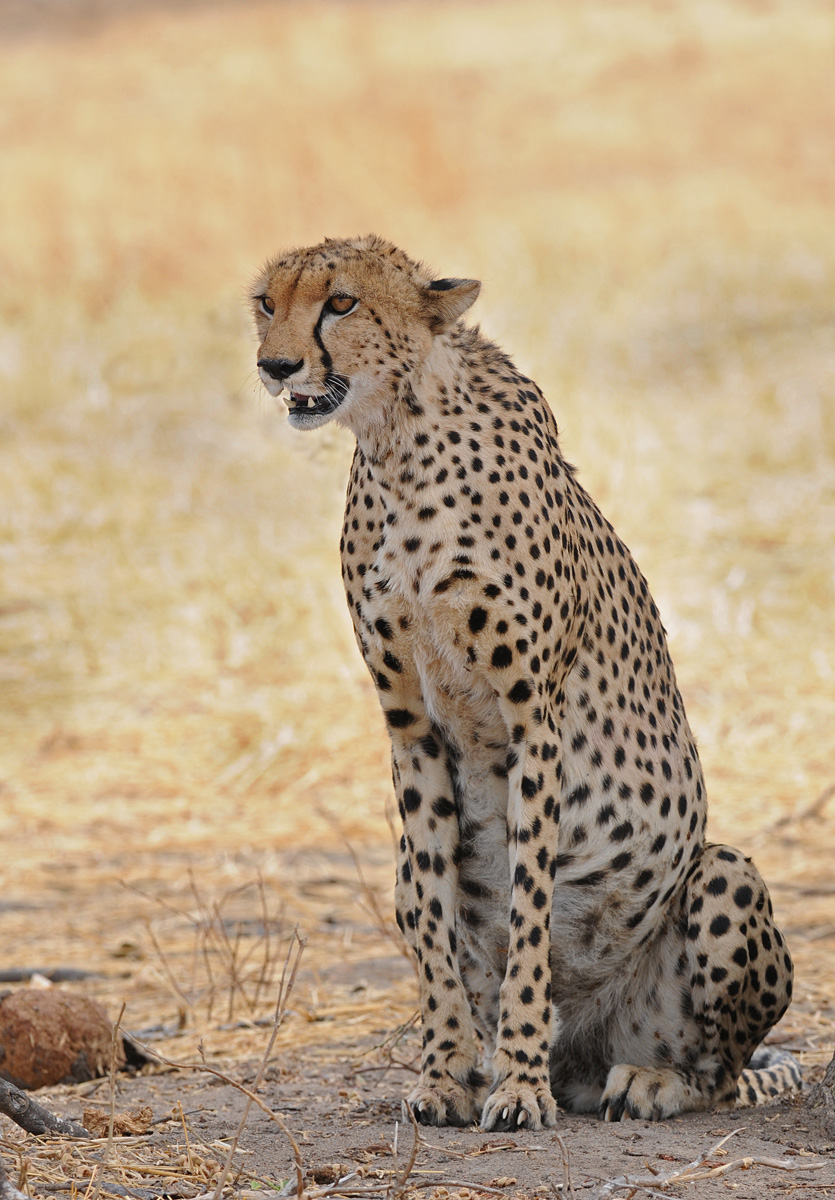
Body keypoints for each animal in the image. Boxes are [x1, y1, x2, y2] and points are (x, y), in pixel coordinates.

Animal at [250, 234, 800, 1130]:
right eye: (267, 302)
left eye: (341, 302)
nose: (275, 364)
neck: (399, 441)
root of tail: (586, 1050)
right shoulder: (409, 726)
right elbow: (437, 916)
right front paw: (446, 1073)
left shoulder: (530, 722)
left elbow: (530, 905)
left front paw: (515, 1083)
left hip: (723, 875)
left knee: (717, 1071)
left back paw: (645, 1081)